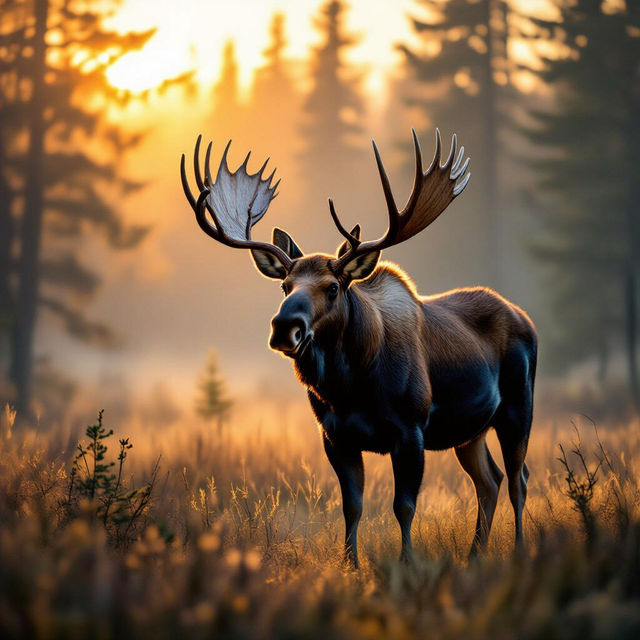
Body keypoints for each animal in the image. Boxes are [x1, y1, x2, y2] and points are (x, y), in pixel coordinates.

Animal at [180, 129, 537, 567]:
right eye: (285, 286)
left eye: (332, 287)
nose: (284, 328)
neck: (351, 387)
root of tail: (524, 317)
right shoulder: (336, 436)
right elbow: (352, 505)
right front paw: (349, 564)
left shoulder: (411, 428)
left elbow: (404, 506)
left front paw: (407, 562)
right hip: (470, 431)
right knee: (490, 480)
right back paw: (474, 554)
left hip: (518, 407)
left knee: (519, 478)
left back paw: (518, 549)